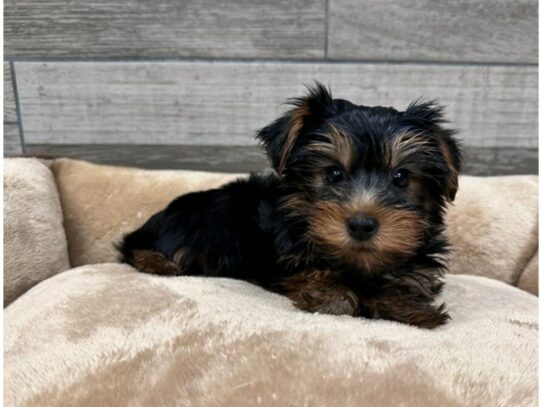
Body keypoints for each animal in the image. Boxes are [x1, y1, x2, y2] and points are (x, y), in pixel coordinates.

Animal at [119, 84, 464, 330]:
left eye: (401, 177)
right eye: (333, 173)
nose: (362, 224)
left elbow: (403, 282)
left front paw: (408, 306)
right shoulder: (281, 261)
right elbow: (311, 273)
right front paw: (334, 296)